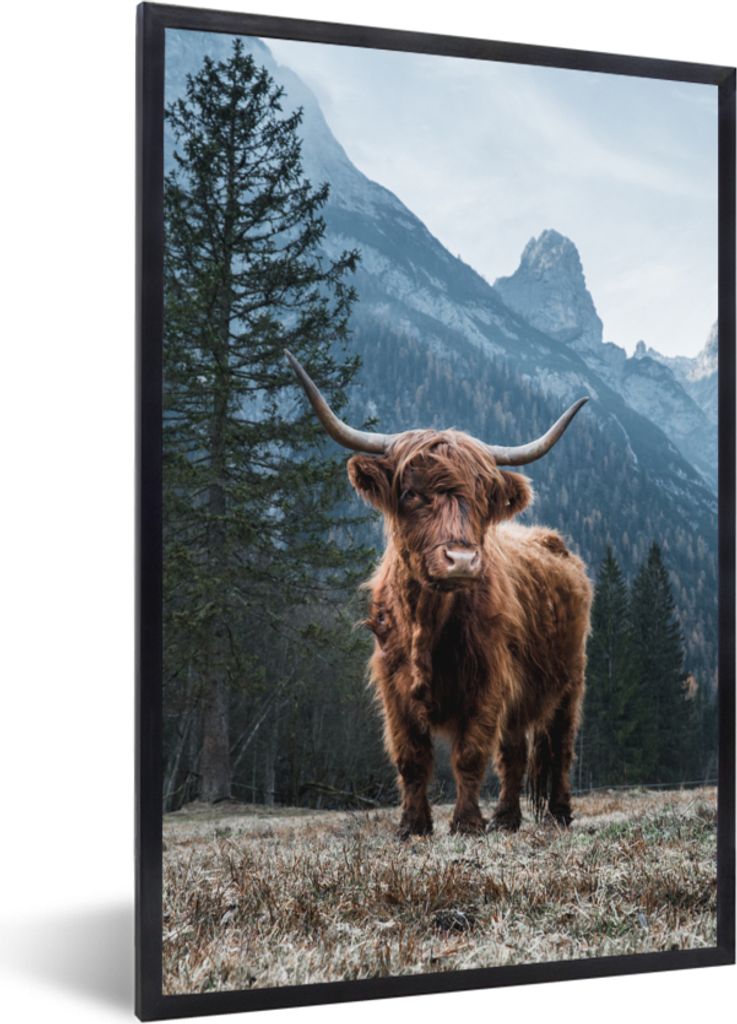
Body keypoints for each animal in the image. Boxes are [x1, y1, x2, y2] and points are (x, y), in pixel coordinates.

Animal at [286, 351, 592, 838]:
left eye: (483, 497)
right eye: (412, 494)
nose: (462, 560)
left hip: (569, 681)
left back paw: (557, 814)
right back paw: (507, 819)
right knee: (514, 753)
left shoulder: (488, 681)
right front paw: (413, 826)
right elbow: (411, 758)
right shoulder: (393, 686)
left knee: (558, 747)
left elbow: (469, 755)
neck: (427, 622)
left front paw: (466, 823)